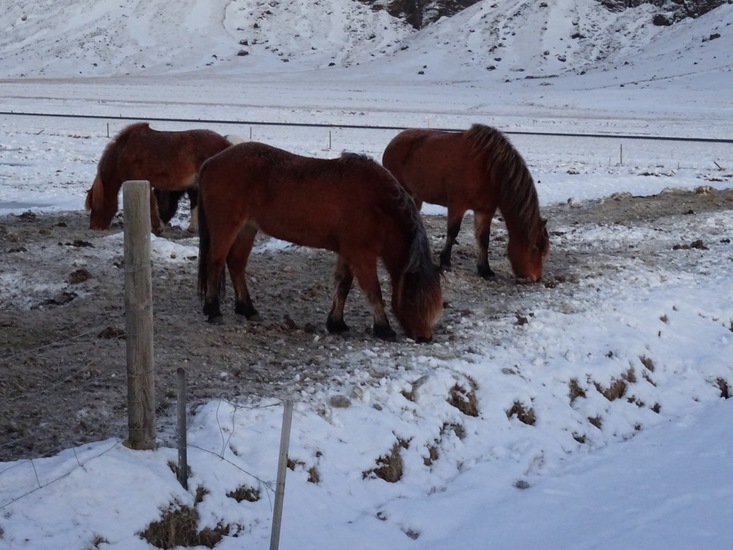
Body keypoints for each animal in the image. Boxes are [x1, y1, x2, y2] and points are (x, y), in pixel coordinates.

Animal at [85, 122, 239, 232]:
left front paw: (157, 227)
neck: (123, 153)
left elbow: (152, 205)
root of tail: (228, 145)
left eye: (95, 205)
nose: (93, 226)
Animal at [197, 142, 443, 342]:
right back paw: (213, 310)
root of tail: (211, 162)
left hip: (247, 229)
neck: (377, 203)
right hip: (226, 227)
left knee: (236, 264)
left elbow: (343, 284)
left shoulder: (348, 252)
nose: (425, 337)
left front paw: (337, 324)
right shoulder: (362, 255)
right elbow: (373, 290)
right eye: (411, 300)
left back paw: (247, 309)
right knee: (215, 262)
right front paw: (384, 329)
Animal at [382, 124, 549, 282]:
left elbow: (484, 239)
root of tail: (393, 143)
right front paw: (445, 262)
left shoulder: (485, 210)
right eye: (535, 247)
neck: (489, 170)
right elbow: (453, 232)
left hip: (416, 197)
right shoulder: (457, 205)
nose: (535, 277)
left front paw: (485, 270)